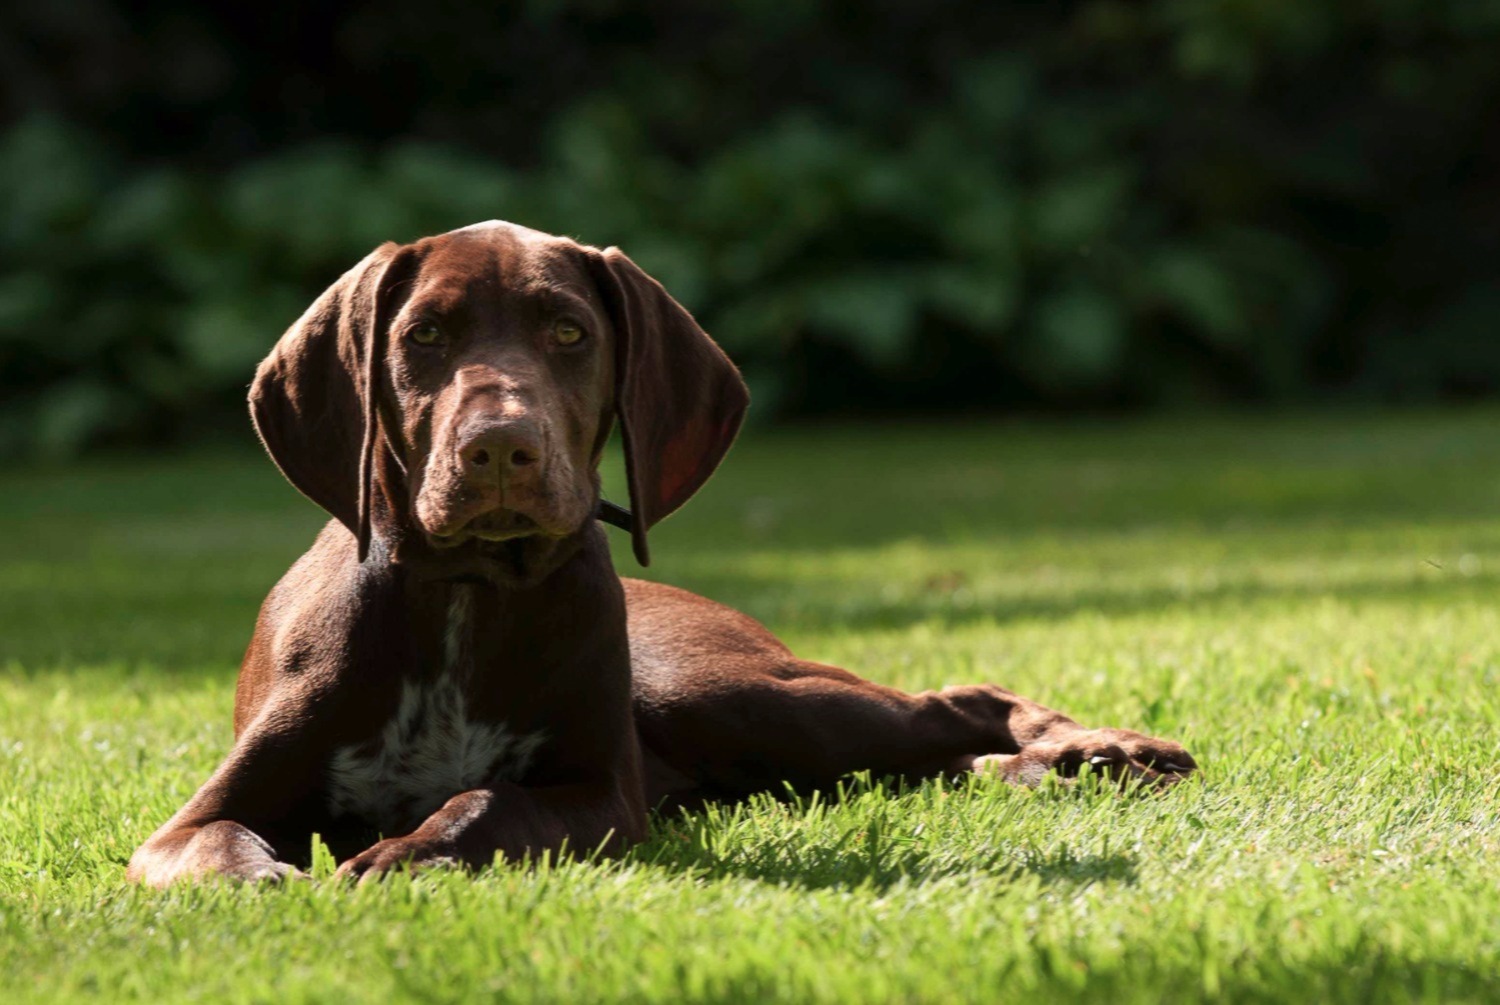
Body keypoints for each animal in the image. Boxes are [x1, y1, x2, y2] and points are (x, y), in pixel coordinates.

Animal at [126, 222, 1194, 888]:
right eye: (422, 335)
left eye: (569, 331)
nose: (499, 449)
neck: (467, 593)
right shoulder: (186, 822)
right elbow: (215, 845)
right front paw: (266, 878)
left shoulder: (600, 794)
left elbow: (486, 801)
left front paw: (401, 854)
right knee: (927, 755)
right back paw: (1060, 768)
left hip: (724, 694)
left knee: (953, 702)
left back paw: (1103, 749)